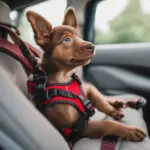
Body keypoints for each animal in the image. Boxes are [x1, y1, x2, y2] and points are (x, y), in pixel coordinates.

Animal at [26, 7, 146, 143]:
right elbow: (106, 124)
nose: (92, 46)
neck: (64, 78)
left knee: (103, 98)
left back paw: (117, 103)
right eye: (67, 39)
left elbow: (101, 102)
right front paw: (130, 130)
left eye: (79, 36)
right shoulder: (77, 127)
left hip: (89, 88)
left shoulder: (88, 90)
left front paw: (113, 111)